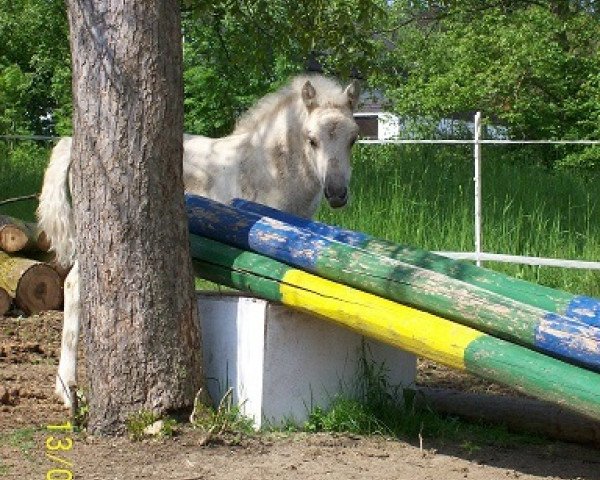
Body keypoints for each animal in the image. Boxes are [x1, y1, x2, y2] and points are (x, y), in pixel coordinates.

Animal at [37, 74, 360, 404]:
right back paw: (67, 389)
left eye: (353, 139)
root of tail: (73, 147)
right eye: (312, 139)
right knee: (74, 287)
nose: (337, 193)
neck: (269, 167)